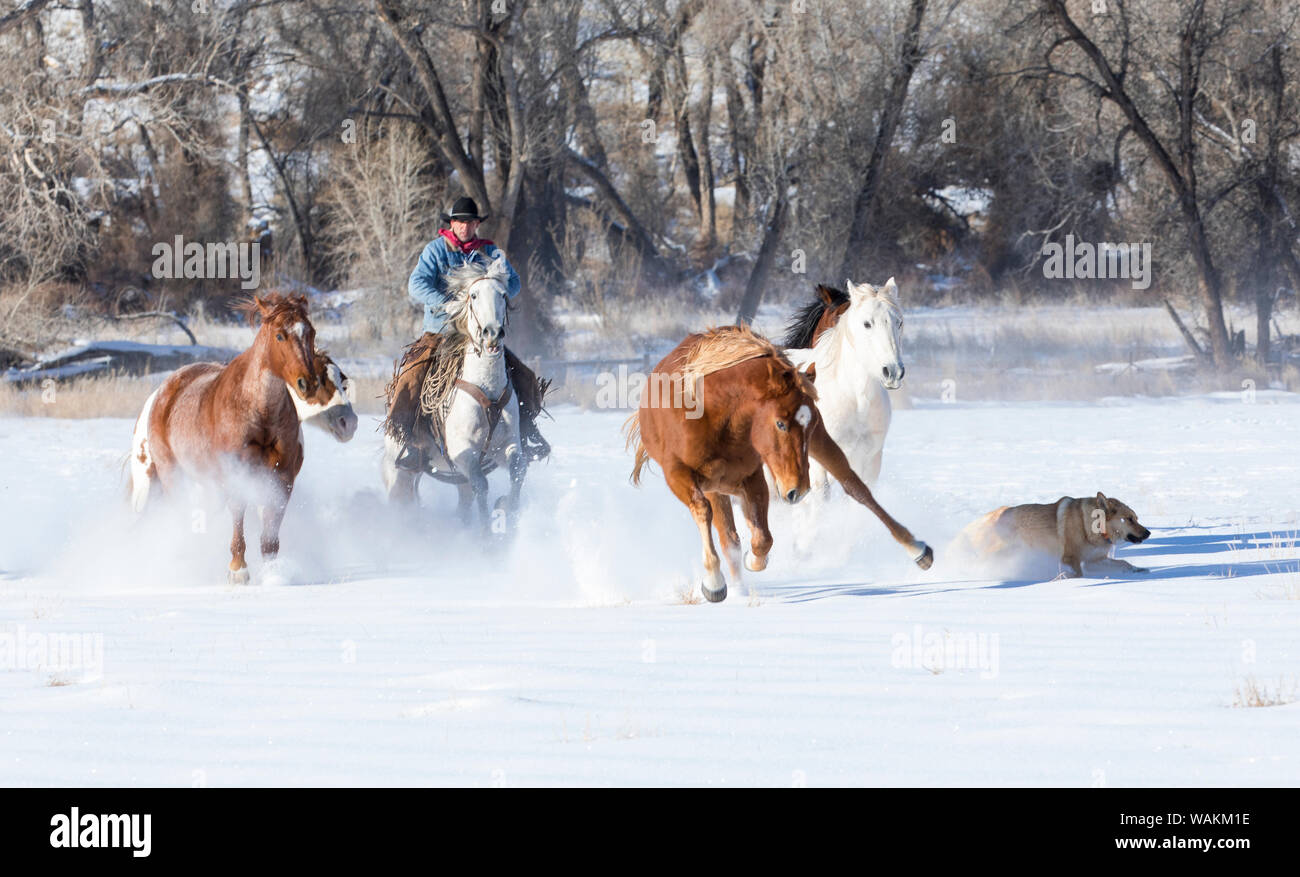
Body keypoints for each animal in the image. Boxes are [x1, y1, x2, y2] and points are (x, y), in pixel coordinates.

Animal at [125, 293, 345, 582]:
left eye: (311, 332)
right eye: (280, 335)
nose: (307, 384)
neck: (259, 412)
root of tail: (164, 391)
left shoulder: (282, 478)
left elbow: (270, 532)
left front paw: (274, 575)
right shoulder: (236, 475)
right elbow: (238, 516)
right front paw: (238, 570)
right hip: (171, 476)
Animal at [624, 326, 930, 608]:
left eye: (810, 423)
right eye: (780, 423)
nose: (799, 490)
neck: (712, 415)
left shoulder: (752, 476)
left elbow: (762, 538)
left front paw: (753, 559)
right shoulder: (680, 475)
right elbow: (706, 514)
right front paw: (714, 583)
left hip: (816, 451)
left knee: (855, 486)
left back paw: (917, 549)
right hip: (718, 485)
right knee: (726, 531)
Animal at [961, 491, 1154, 579]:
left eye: (1136, 518)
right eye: (1129, 519)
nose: (1148, 533)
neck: (1091, 527)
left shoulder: (1095, 560)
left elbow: (1124, 563)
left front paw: (1138, 570)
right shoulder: (1069, 558)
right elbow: (1078, 573)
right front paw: (1064, 577)